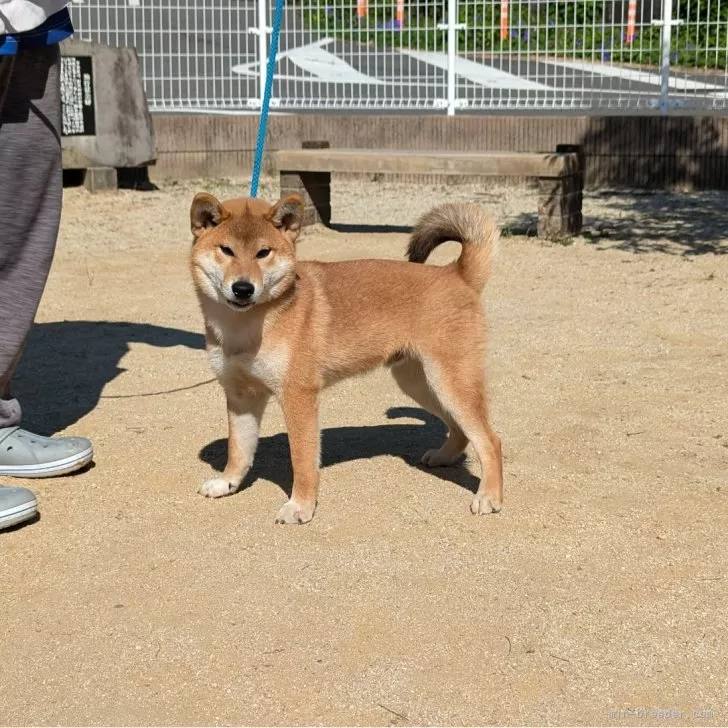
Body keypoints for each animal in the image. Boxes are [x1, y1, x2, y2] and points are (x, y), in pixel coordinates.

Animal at [191, 193, 504, 524]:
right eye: (226, 250)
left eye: (264, 253)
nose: (243, 288)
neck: (246, 325)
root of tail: (456, 273)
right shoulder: (241, 396)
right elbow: (238, 450)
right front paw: (228, 483)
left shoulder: (298, 398)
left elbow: (302, 462)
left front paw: (300, 506)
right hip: (421, 383)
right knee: (460, 429)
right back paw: (444, 456)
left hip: (449, 382)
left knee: (490, 440)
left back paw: (489, 496)